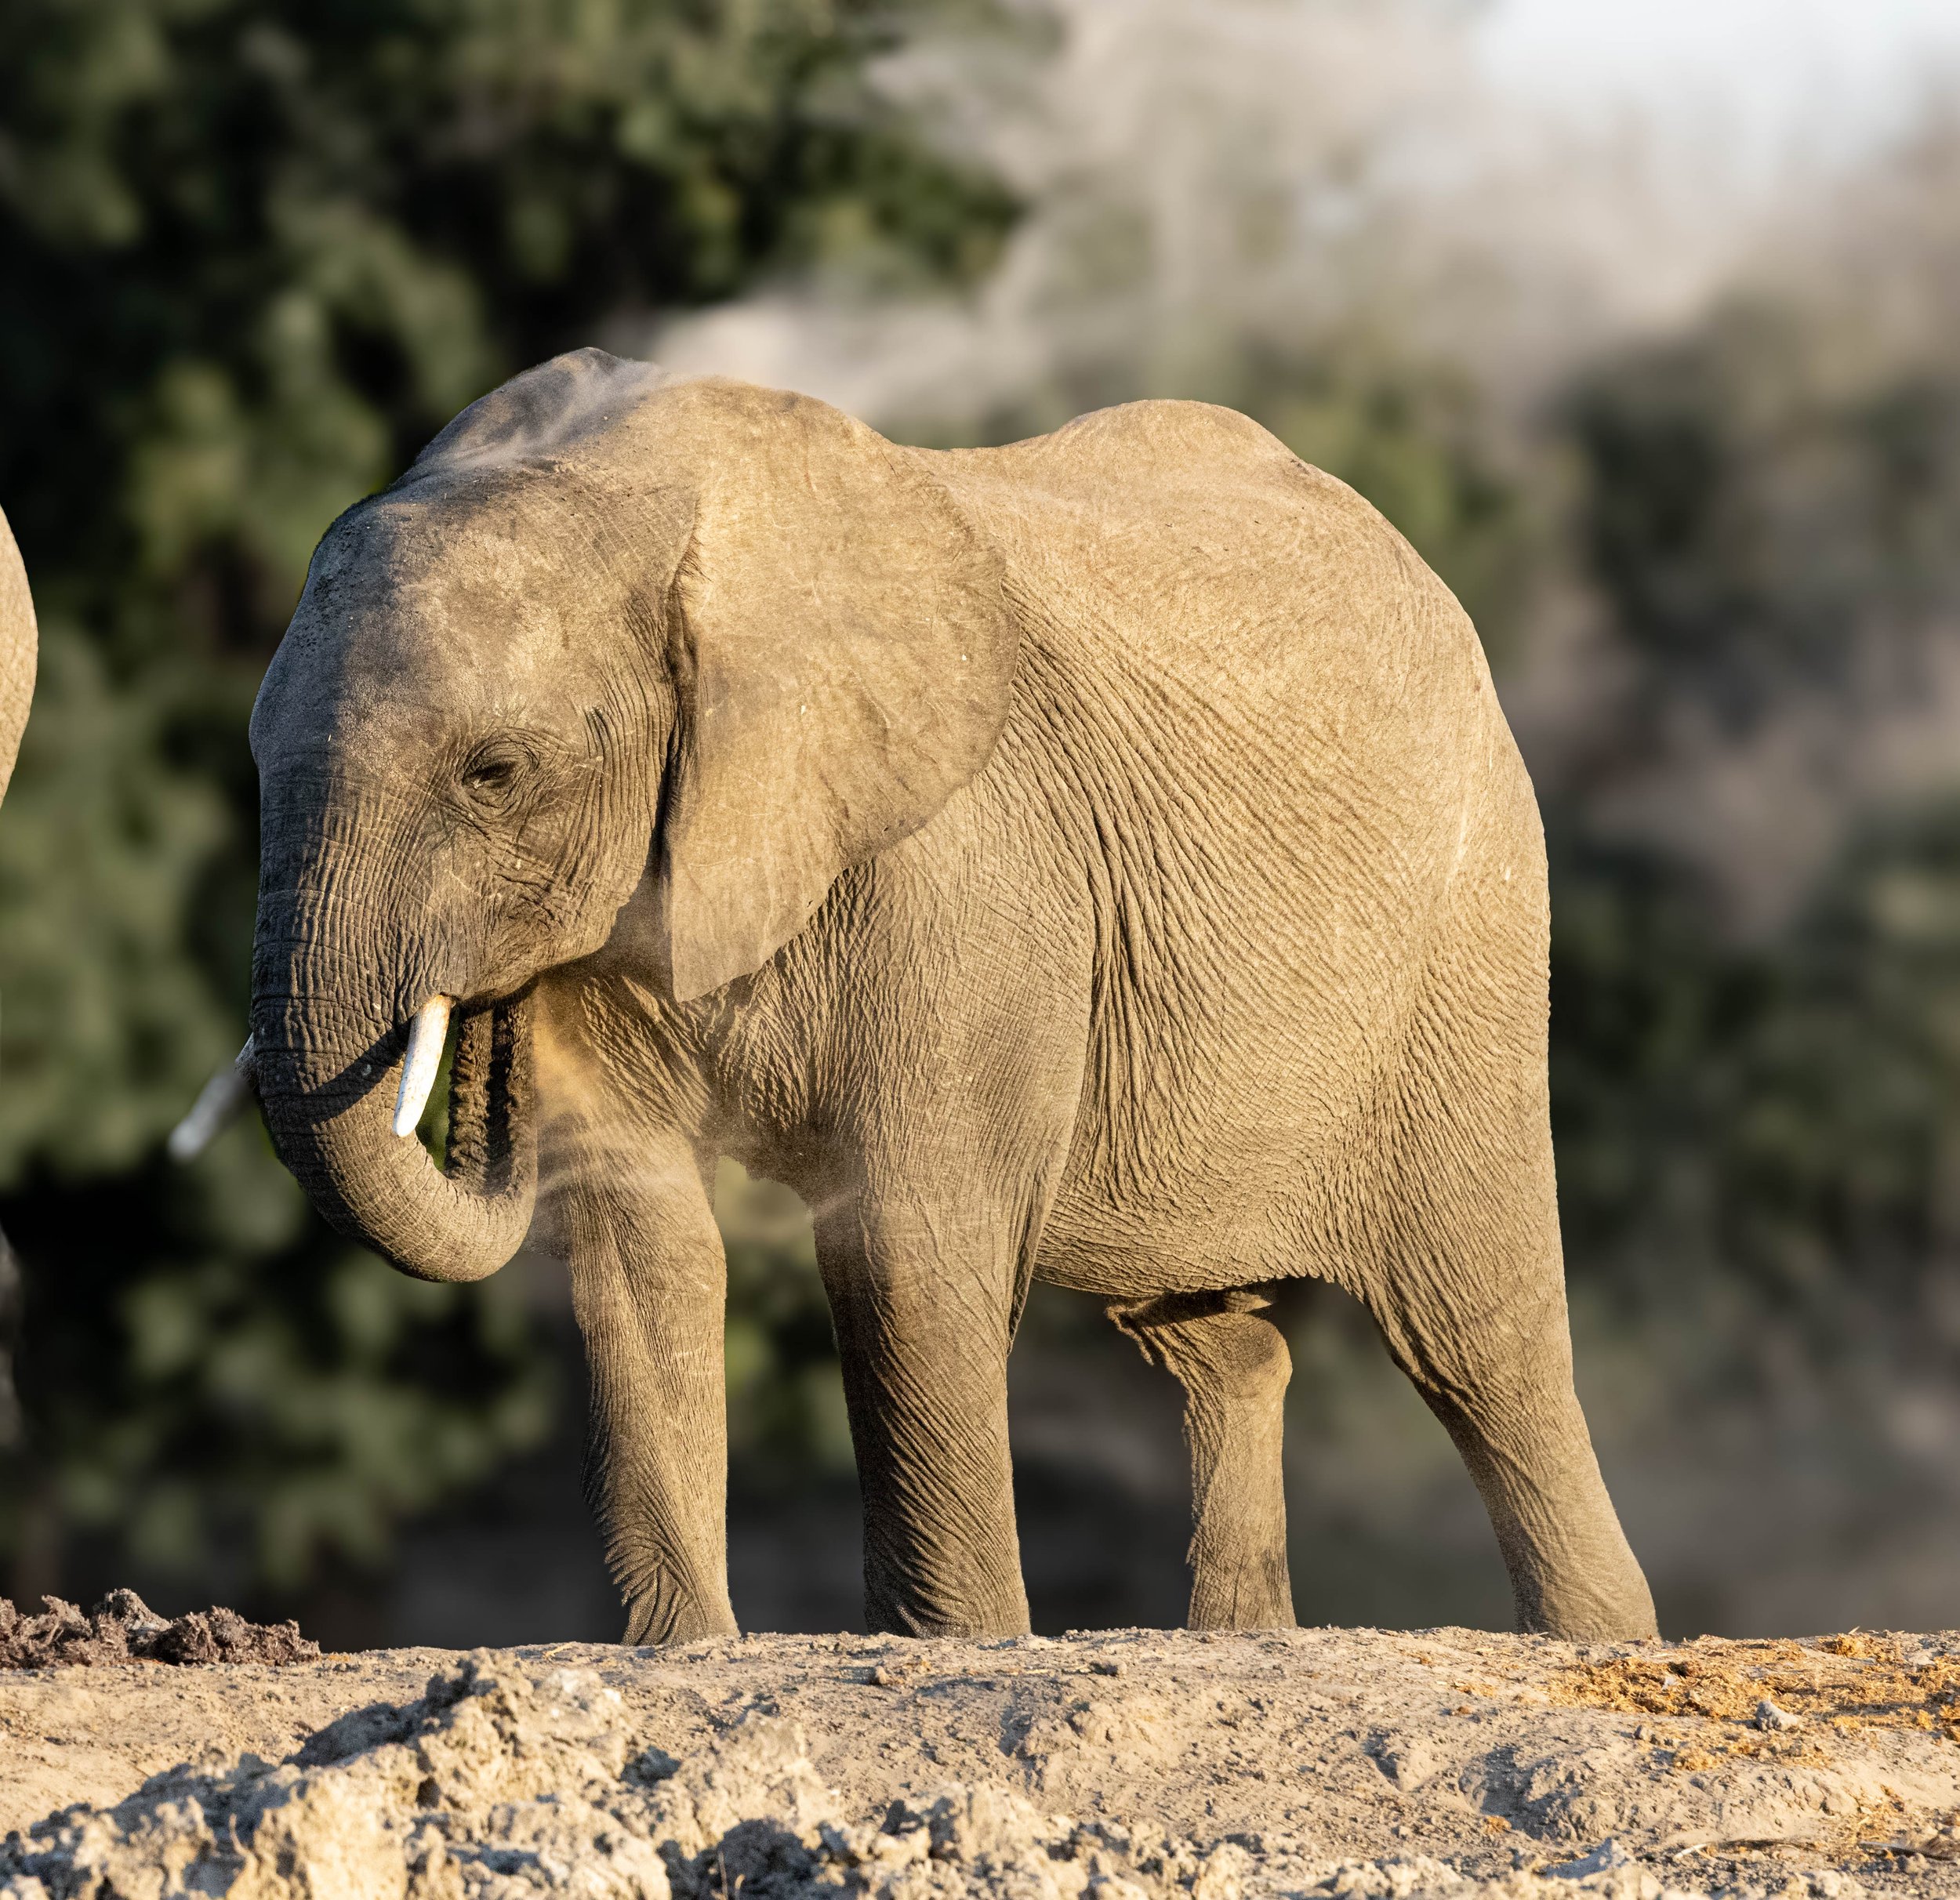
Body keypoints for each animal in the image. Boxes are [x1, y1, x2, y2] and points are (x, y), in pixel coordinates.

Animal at [244, 346, 1657, 1645]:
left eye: (494, 772)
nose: (481, 1014)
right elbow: (637, 1235)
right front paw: (690, 1652)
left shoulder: (966, 864)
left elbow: (907, 1247)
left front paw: (955, 1642)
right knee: (1214, 1333)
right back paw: (1240, 1627)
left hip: (1470, 929)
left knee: (1483, 1342)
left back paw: (1601, 1639)